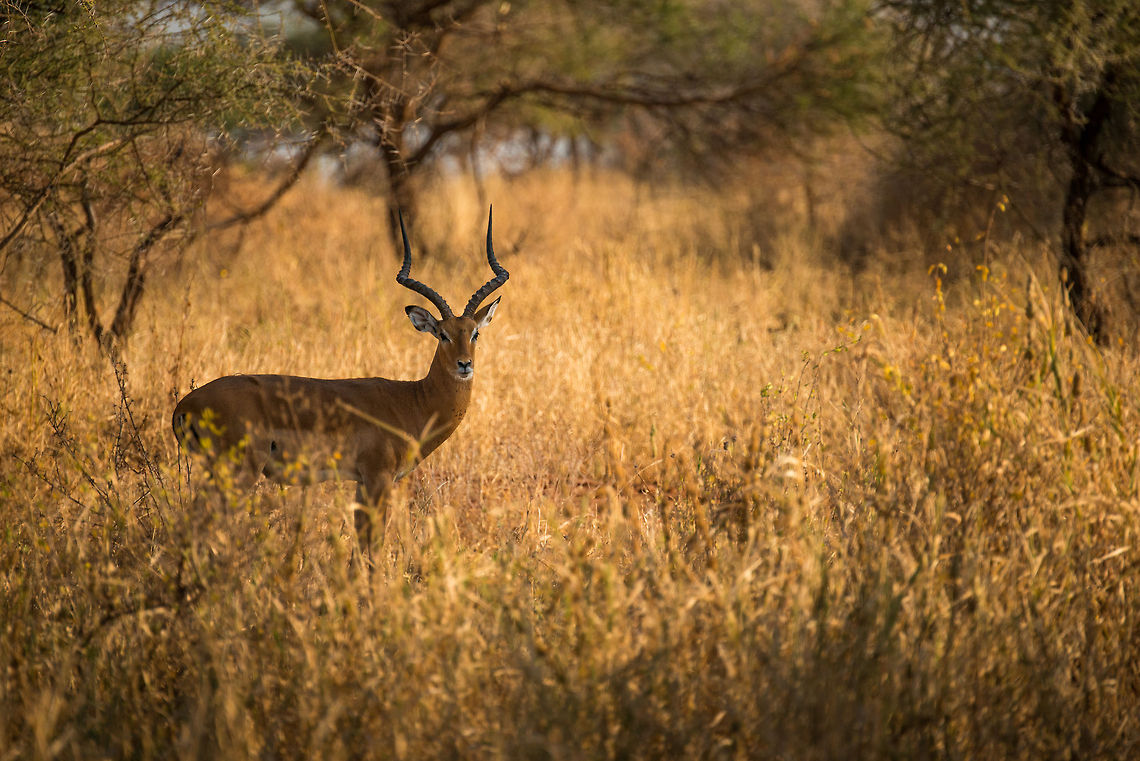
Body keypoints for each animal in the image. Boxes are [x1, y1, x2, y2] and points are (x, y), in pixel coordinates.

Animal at [172, 209, 508, 548]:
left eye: (475, 333)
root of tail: (185, 405)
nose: (464, 364)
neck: (412, 402)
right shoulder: (378, 477)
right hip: (237, 472)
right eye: (442, 334)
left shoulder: (362, 482)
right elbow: (372, 545)